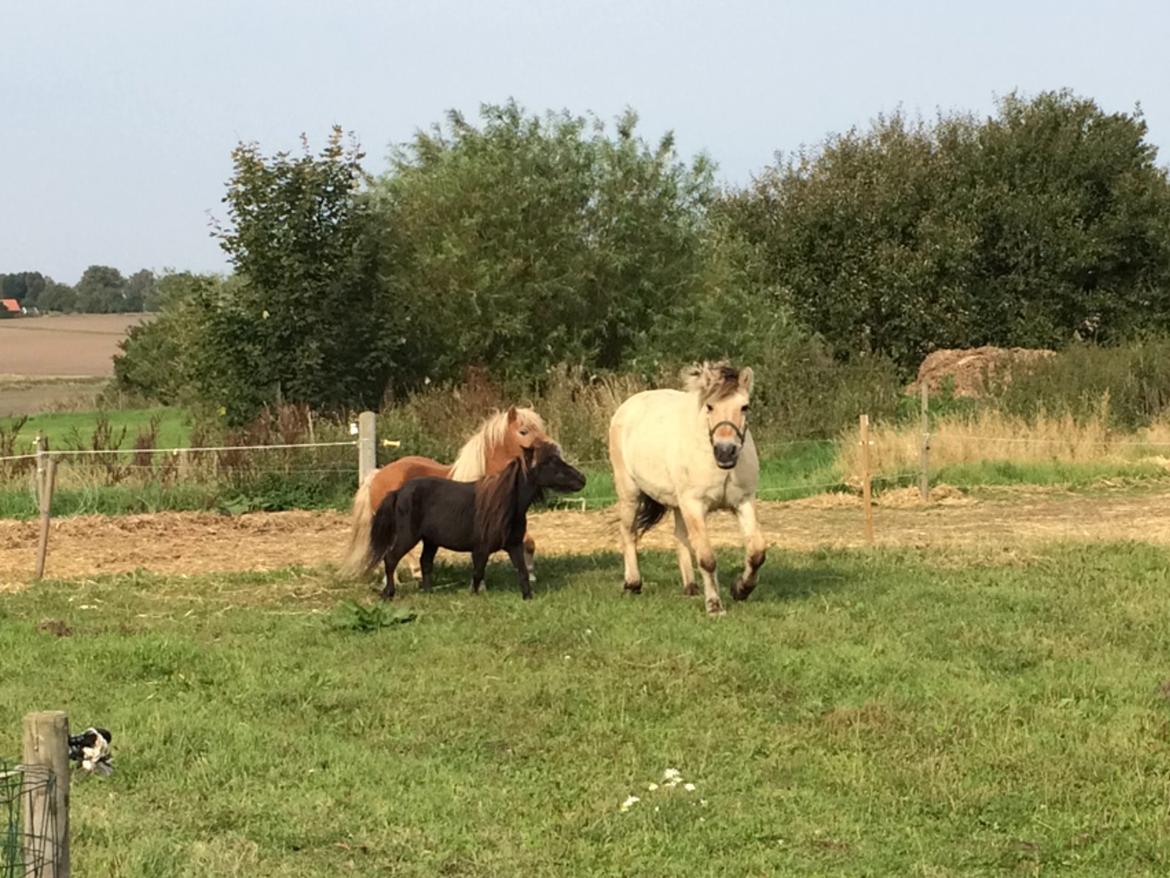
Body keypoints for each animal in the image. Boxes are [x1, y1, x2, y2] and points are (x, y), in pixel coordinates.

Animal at [341, 405, 549, 585]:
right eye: (523, 431)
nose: (550, 450)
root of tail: (377, 475)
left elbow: (529, 543)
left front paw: (531, 575)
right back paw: (412, 573)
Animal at [362, 442, 585, 604]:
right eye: (549, 463)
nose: (582, 479)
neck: (505, 503)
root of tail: (399, 492)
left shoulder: (513, 545)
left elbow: (521, 571)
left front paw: (528, 597)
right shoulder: (481, 549)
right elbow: (478, 574)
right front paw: (474, 596)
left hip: (430, 541)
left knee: (425, 562)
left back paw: (428, 592)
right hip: (408, 536)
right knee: (391, 559)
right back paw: (388, 593)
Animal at [613, 360, 767, 613]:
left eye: (745, 407)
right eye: (710, 406)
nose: (726, 451)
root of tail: (627, 406)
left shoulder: (743, 501)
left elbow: (756, 553)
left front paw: (740, 590)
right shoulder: (694, 505)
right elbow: (707, 557)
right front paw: (714, 605)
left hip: (678, 504)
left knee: (679, 538)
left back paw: (690, 587)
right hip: (630, 493)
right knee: (629, 532)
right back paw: (633, 583)